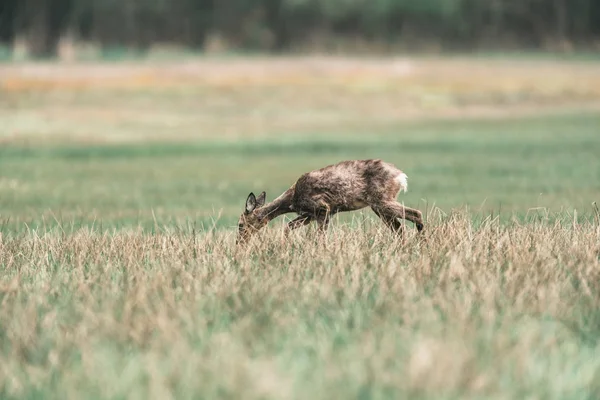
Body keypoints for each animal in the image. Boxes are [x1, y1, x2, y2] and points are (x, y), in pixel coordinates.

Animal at [237, 159, 424, 244]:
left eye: (240, 224)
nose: (239, 242)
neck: (292, 198)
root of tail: (401, 177)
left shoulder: (322, 208)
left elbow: (321, 236)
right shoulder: (310, 214)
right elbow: (288, 227)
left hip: (381, 201)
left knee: (416, 213)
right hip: (380, 206)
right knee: (399, 228)